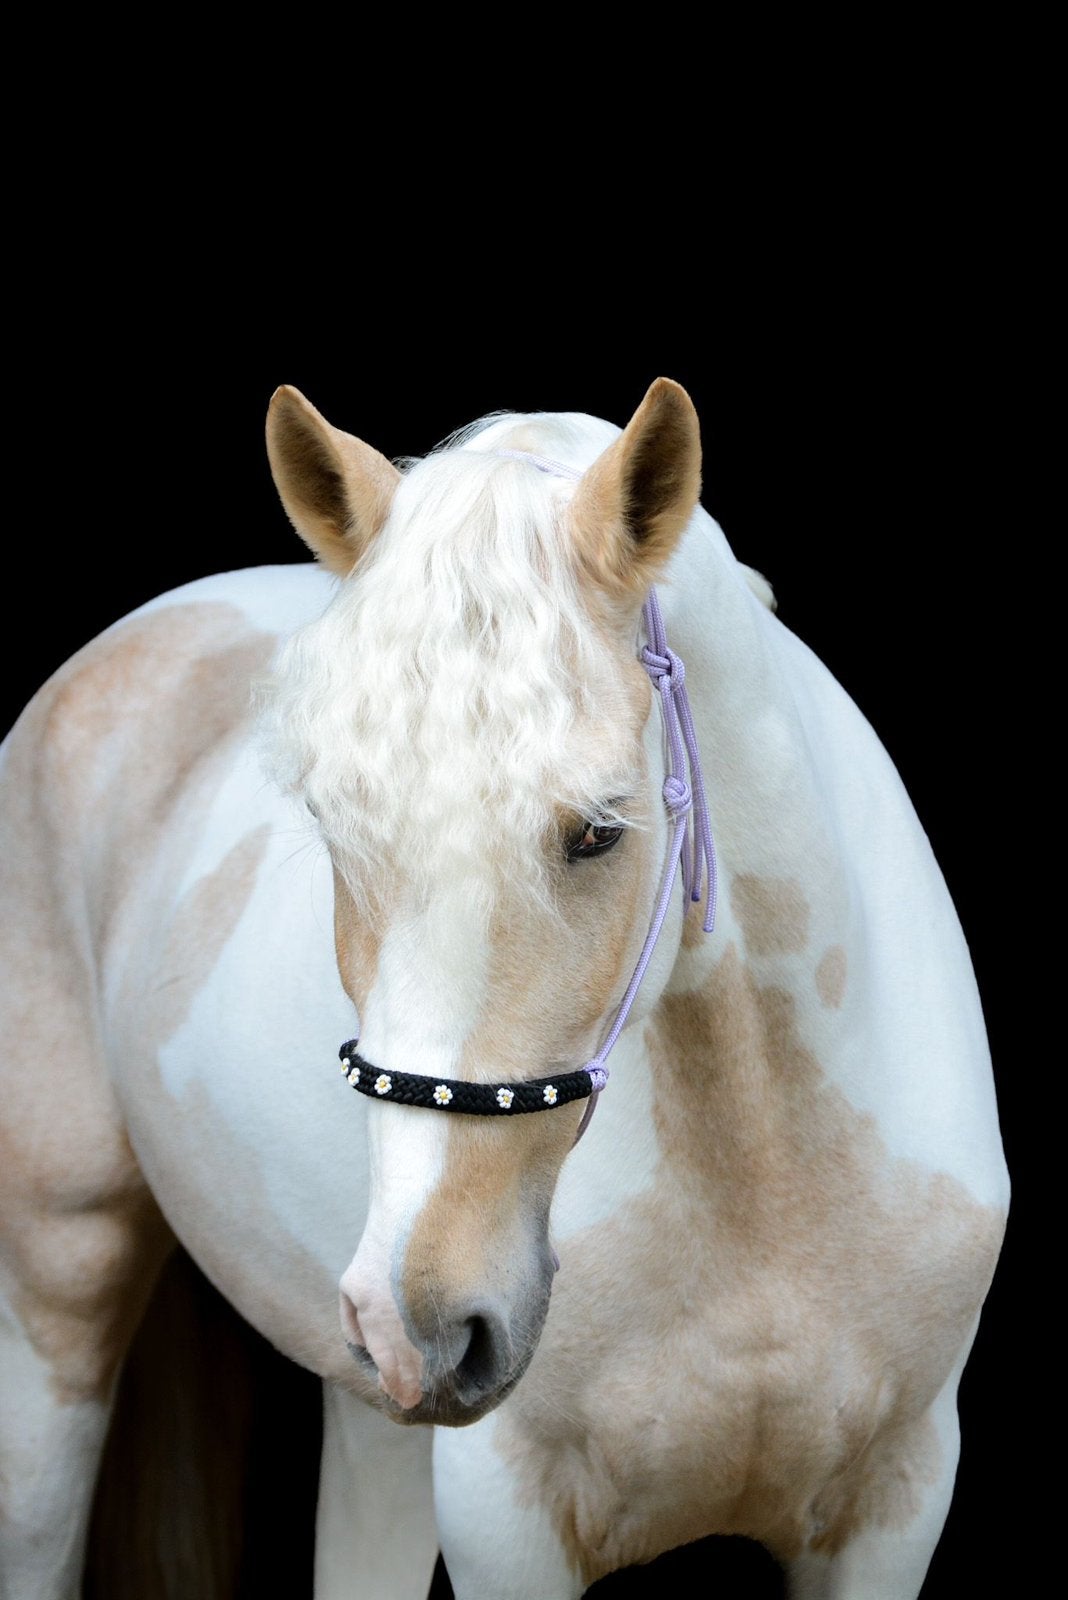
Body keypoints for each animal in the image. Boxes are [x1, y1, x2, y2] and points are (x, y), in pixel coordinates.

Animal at [0, 377, 1008, 1599]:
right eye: (332, 827)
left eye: (598, 831)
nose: (420, 1319)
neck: (767, 1183)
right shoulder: (506, 1514)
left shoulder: (897, 1501)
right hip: (59, 1296)